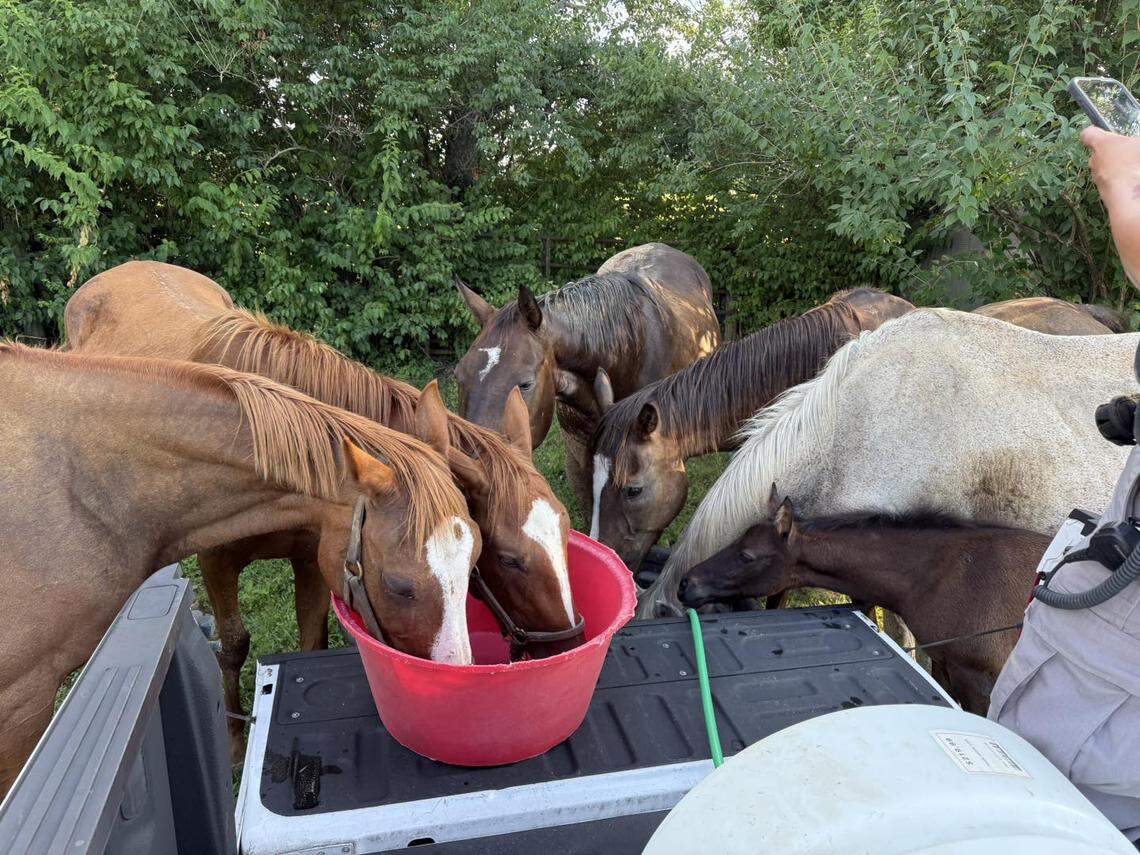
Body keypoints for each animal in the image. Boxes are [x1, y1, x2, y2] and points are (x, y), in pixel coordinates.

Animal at [65, 261, 580, 757]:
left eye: (475, 557)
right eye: (510, 560)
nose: (571, 643)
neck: (267, 447)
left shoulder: (316, 559)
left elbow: (311, 640)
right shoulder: (216, 562)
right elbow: (233, 646)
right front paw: (232, 741)